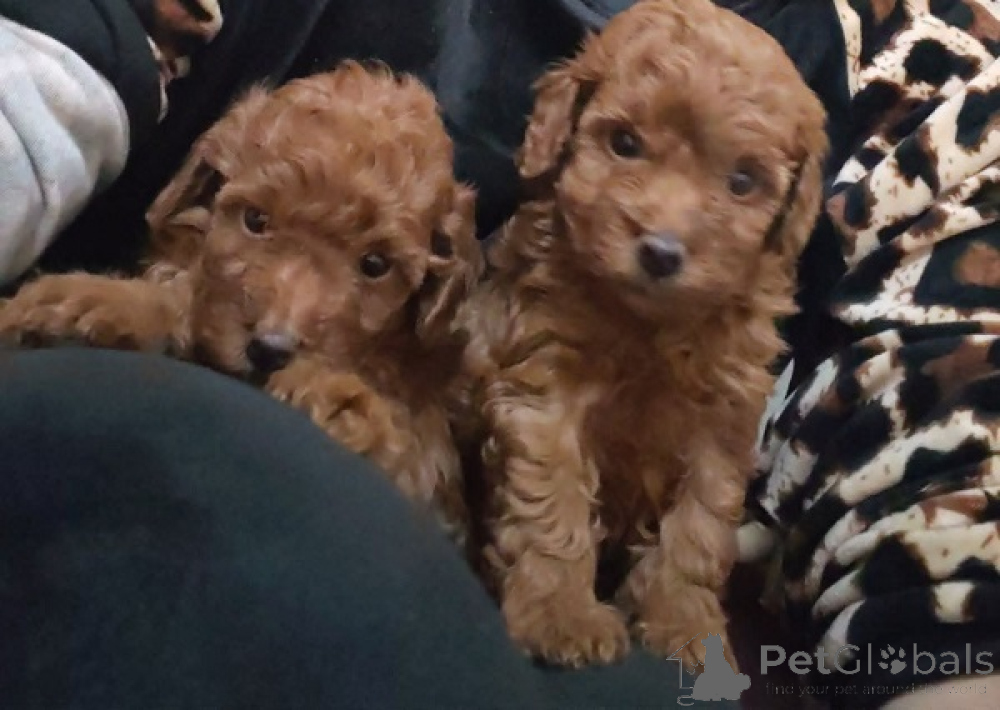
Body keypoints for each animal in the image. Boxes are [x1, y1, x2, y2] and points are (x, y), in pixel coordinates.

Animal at [0, 62, 483, 543]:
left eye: (376, 264)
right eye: (255, 219)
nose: (269, 350)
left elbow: (409, 453)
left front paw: (342, 403)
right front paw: (83, 304)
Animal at [456, 0, 827, 669]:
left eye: (743, 181)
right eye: (624, 143)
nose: (660, 252)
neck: (649, 325)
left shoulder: (723, 420)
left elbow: (701, 523)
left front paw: (684, 621)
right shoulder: (543, 386)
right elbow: (551, 498)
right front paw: (561, 615)